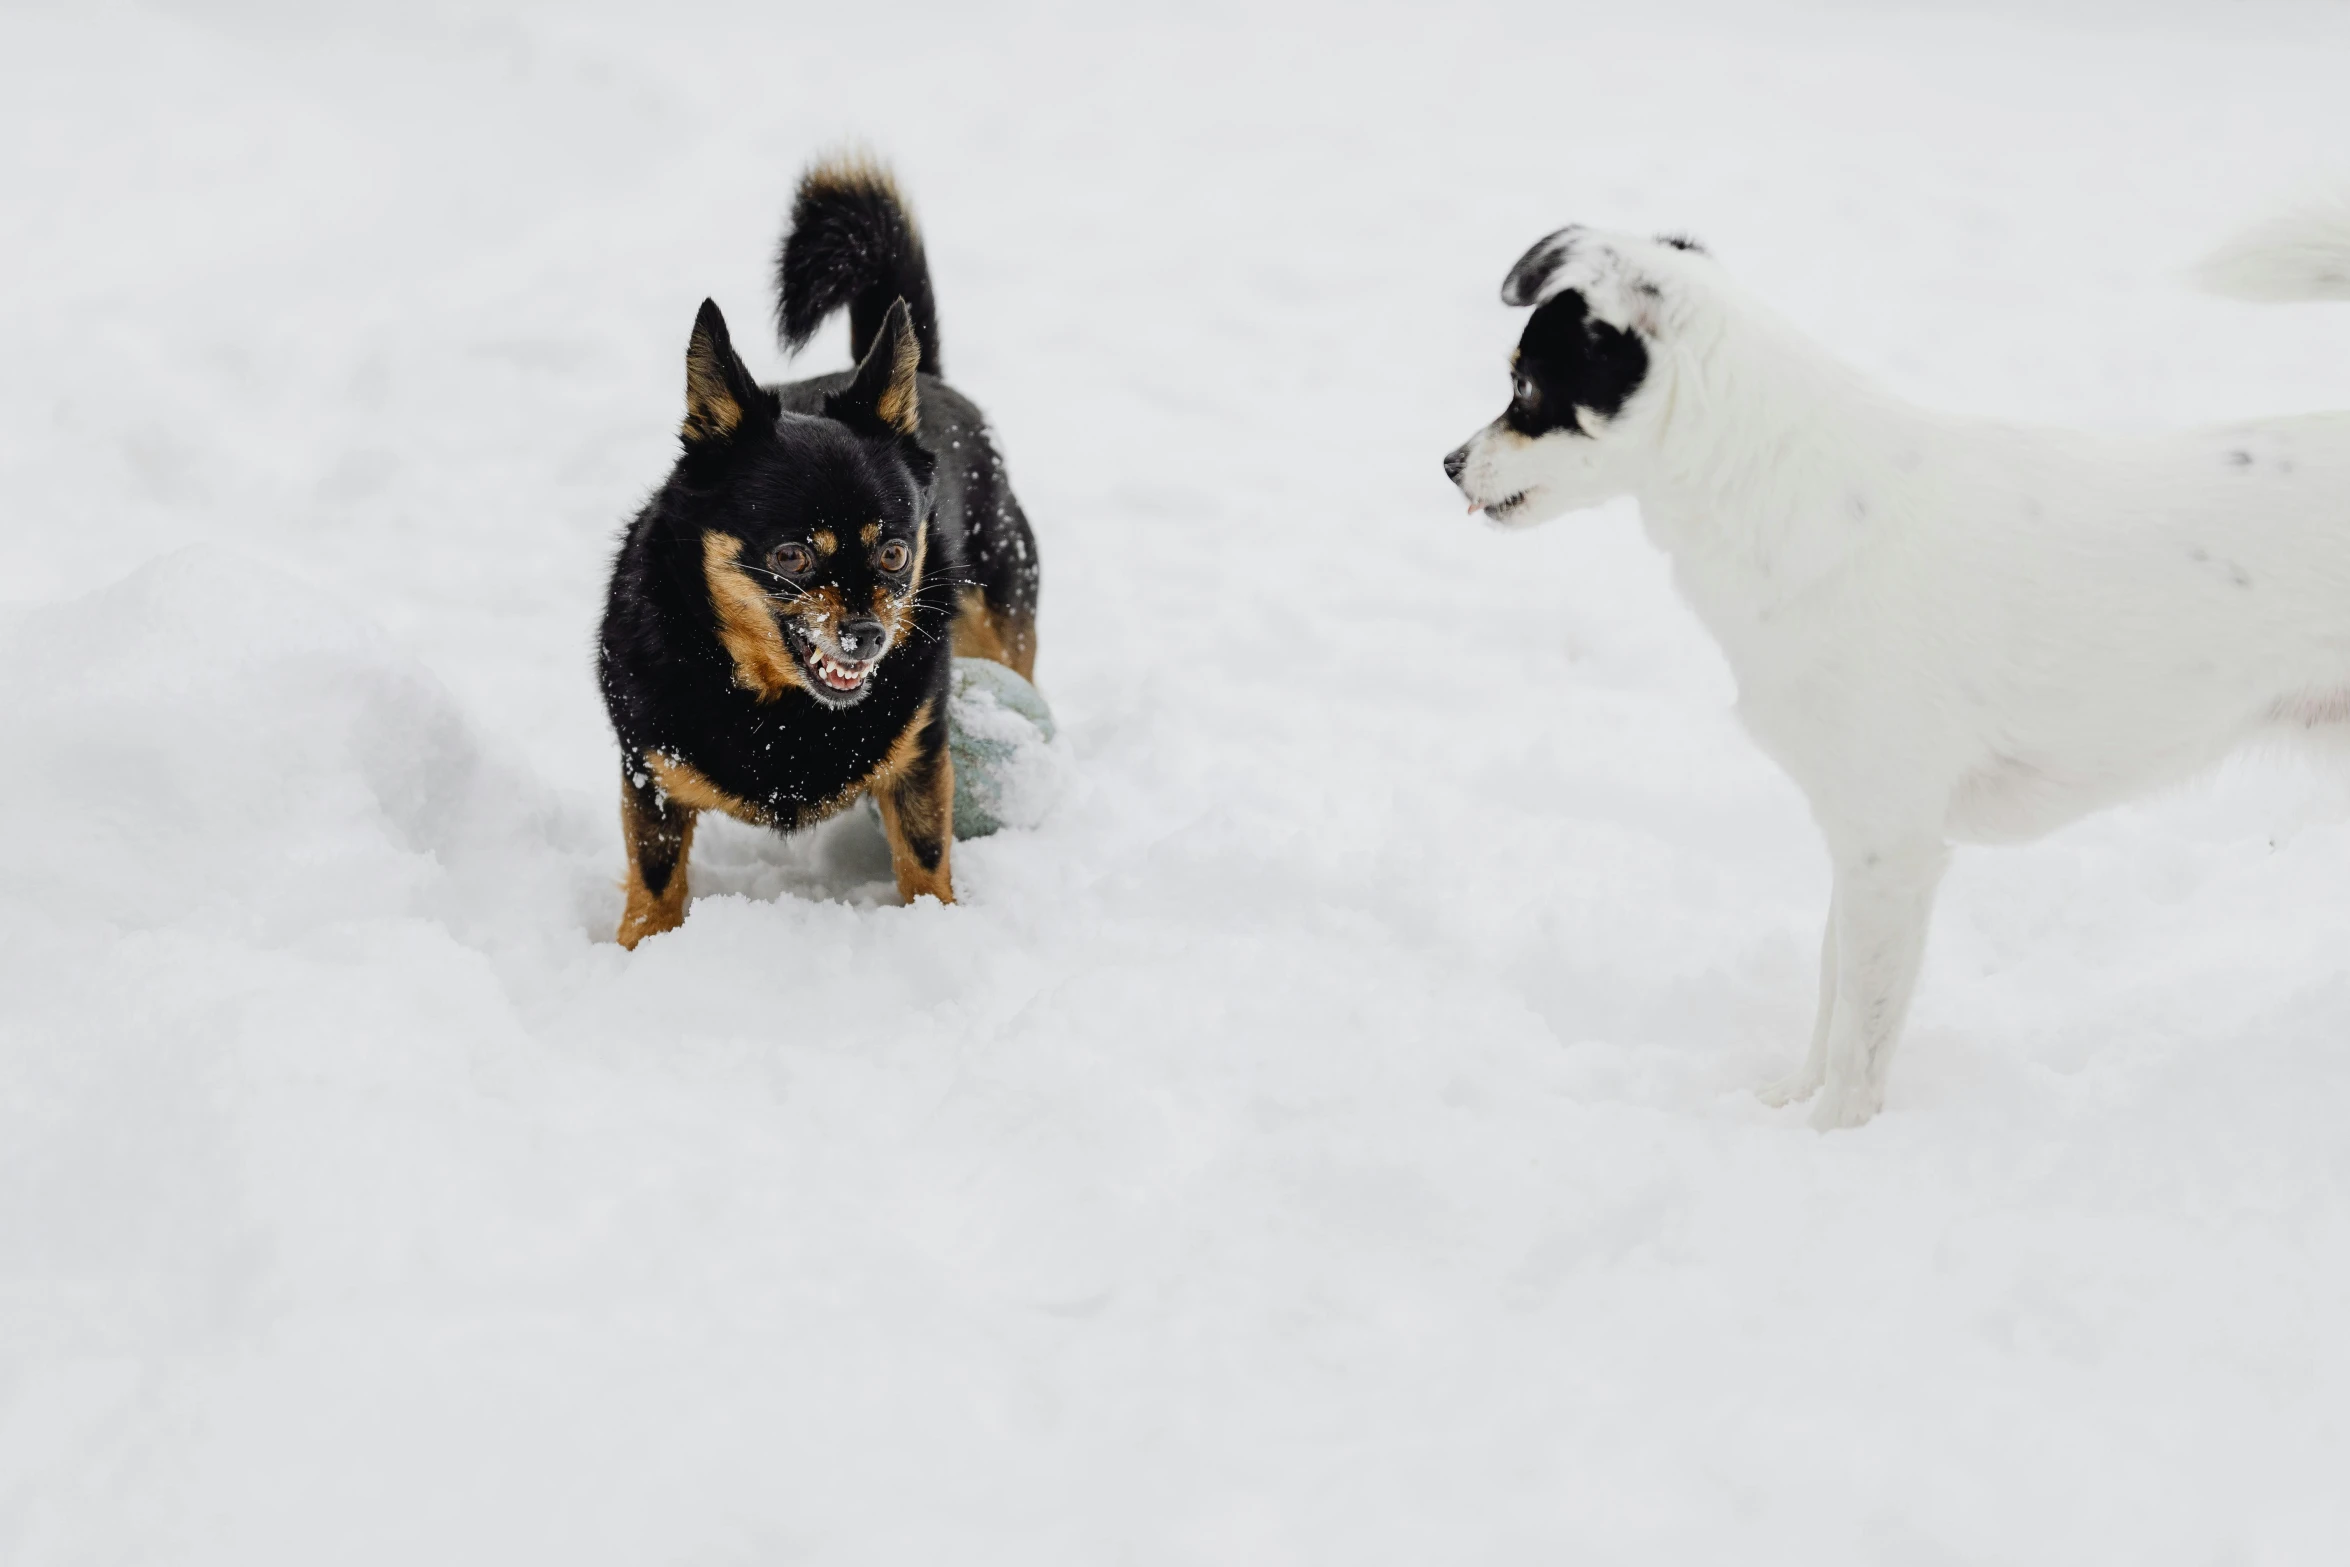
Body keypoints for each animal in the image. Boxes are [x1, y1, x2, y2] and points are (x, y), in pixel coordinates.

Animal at [601, 156, 1043, 944]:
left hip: (1004, 617)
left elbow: (925, 861)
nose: (867, 636)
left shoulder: (920, 759)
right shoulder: (649, 775)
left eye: (895, 554)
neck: (780, 705)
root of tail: (930, 377)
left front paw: (937, 933)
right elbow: (654, 884)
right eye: (792, 557)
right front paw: (639, 952)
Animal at [1438, 199, 2350, 1127]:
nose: (1448, 465)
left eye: (1525, 388)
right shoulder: (1854, 837)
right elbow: (1830, 987)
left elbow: (1859, 1029)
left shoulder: (1890, 845)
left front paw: (1833, 1131)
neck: (1774, 491)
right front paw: (1792, 1107)